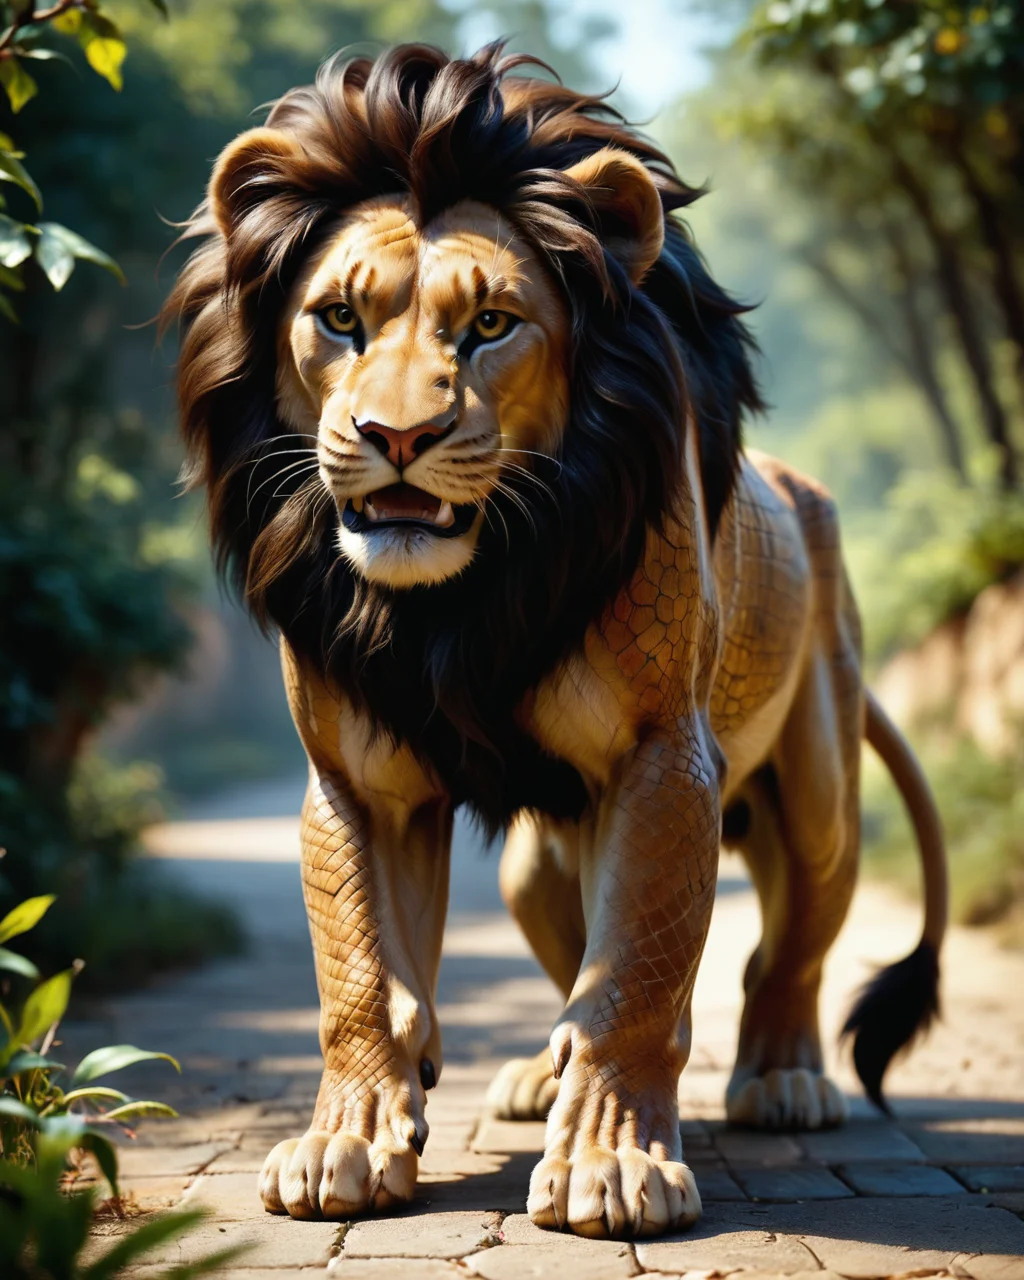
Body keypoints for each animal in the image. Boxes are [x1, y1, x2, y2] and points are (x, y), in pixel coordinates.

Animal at [163, 43, 948, 1240]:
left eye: (491, 325)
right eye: (339, 317)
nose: (396, 437)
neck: (464, 598)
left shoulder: (662, 755)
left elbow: (635, 978)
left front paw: (613, 1163)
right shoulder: (358, 778)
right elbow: (361, 974)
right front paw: (346, 1136)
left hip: (818, 795)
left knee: (783, 955)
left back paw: (782, 1077)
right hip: (541, 856)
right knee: (573, 946)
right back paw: (538, 1076)